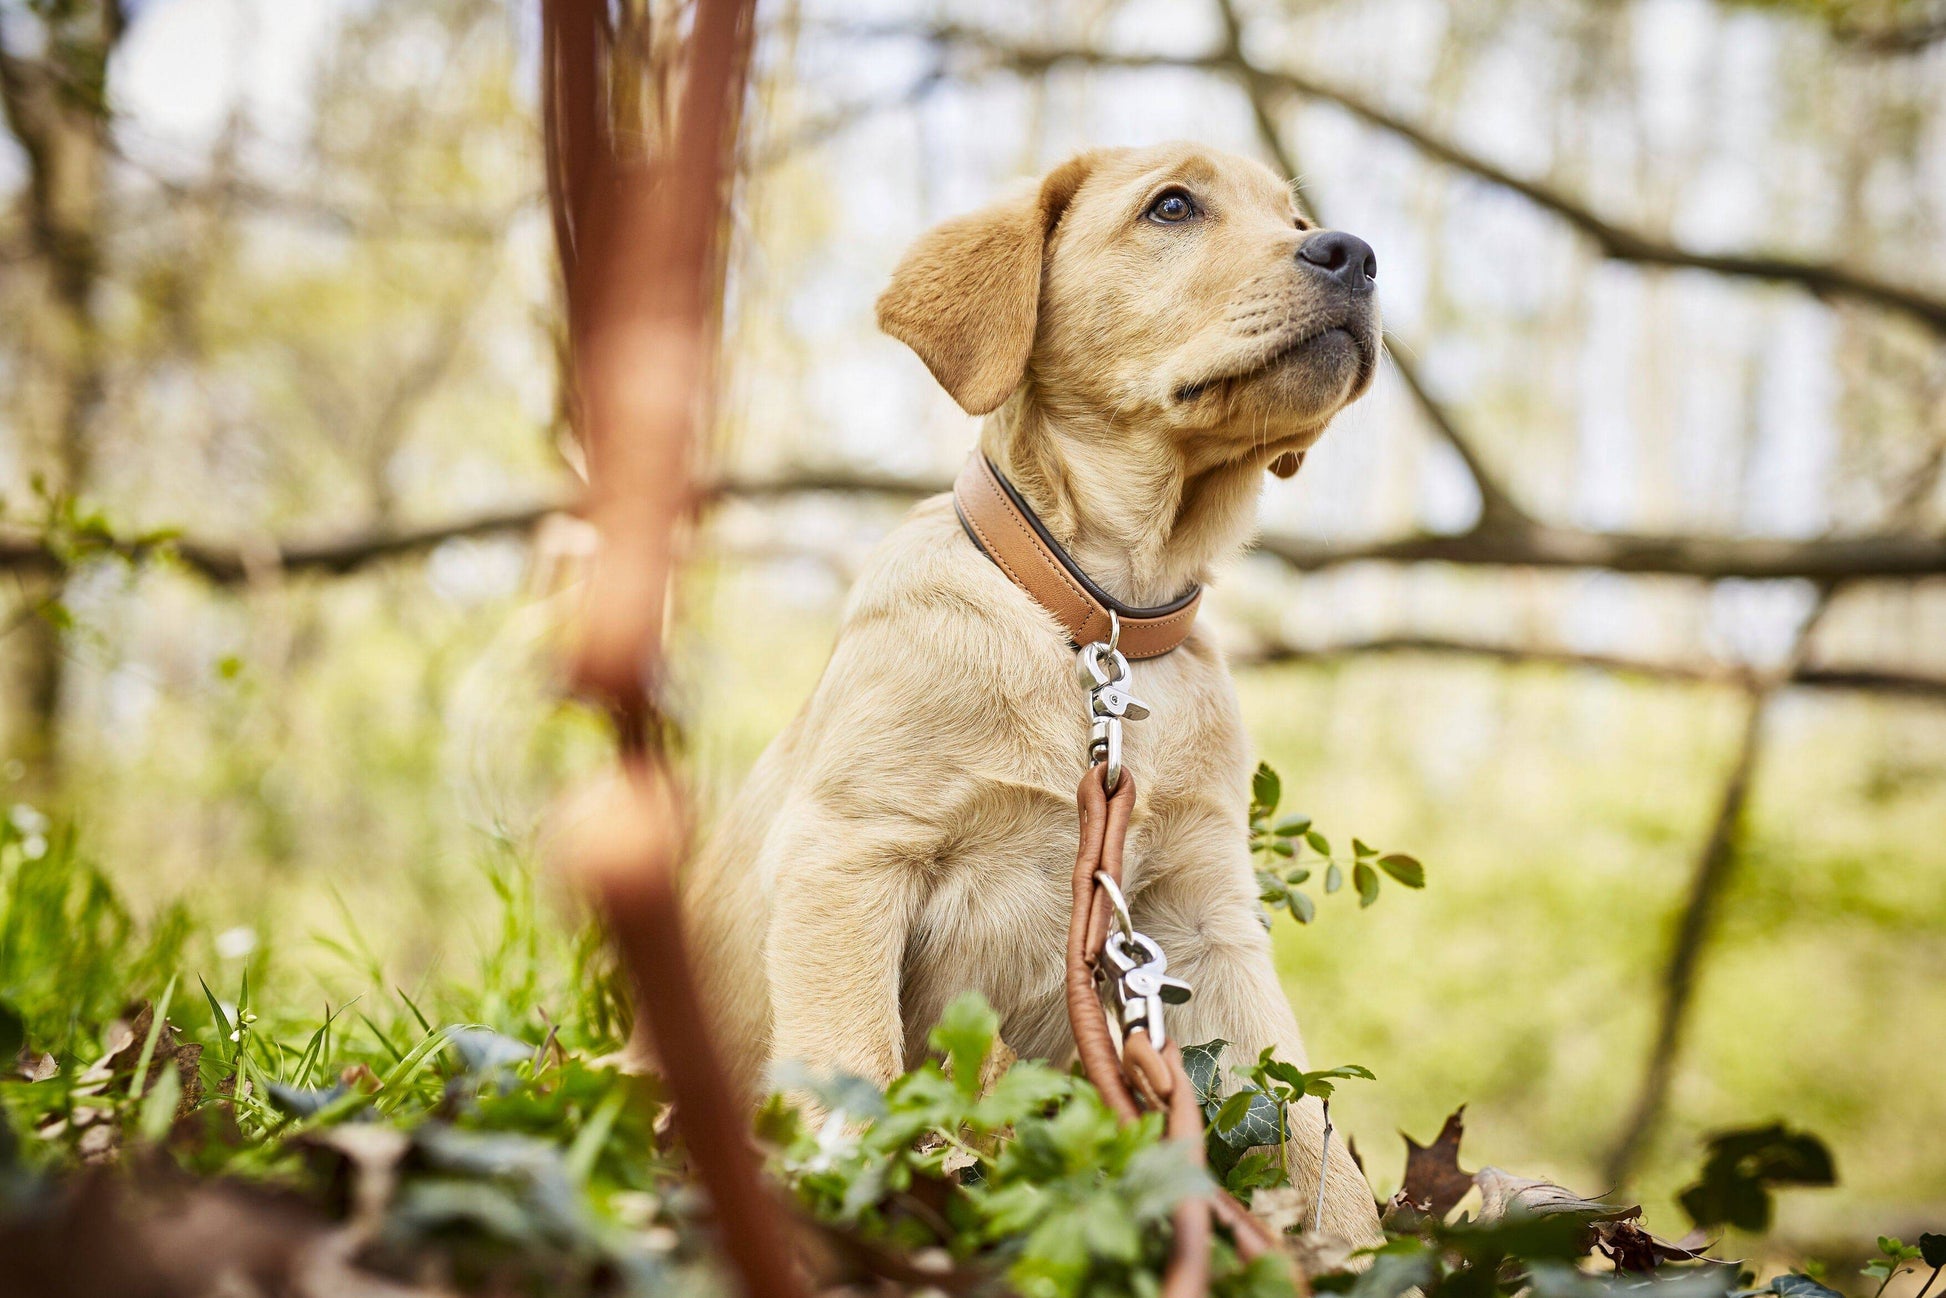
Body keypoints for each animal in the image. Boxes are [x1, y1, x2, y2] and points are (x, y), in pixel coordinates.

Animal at [684, 140, 1385, 1237]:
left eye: (1297, 217)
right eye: (1172, 207)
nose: (1354, 254)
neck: (1103, 621)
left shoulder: (1208, 919)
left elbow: (1307, 1122)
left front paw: (1357, 1247)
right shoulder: (847, 852)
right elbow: (852, 1063)